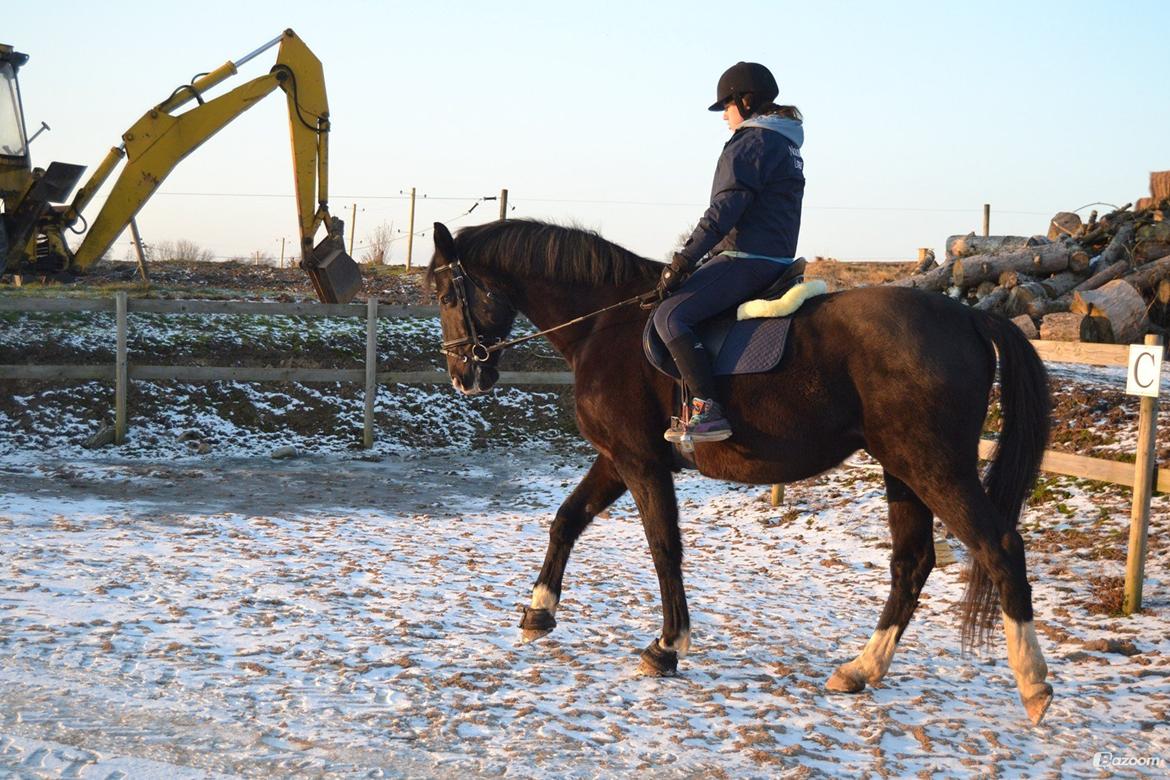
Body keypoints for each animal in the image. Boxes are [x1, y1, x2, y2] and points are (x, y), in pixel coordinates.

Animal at [425, 216, 1057, 725]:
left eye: (449, 293)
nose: (464, 377)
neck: (607, 325)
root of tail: (970, 319)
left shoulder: (639, 461)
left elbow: (663, 547)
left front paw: (667, 646)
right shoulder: (617, 458)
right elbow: (566, 520)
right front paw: (538, 611)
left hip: (933, 466)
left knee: (999, 547)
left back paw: (1033, 684)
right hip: (902, 470)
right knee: (912, 563)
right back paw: (860, 669)